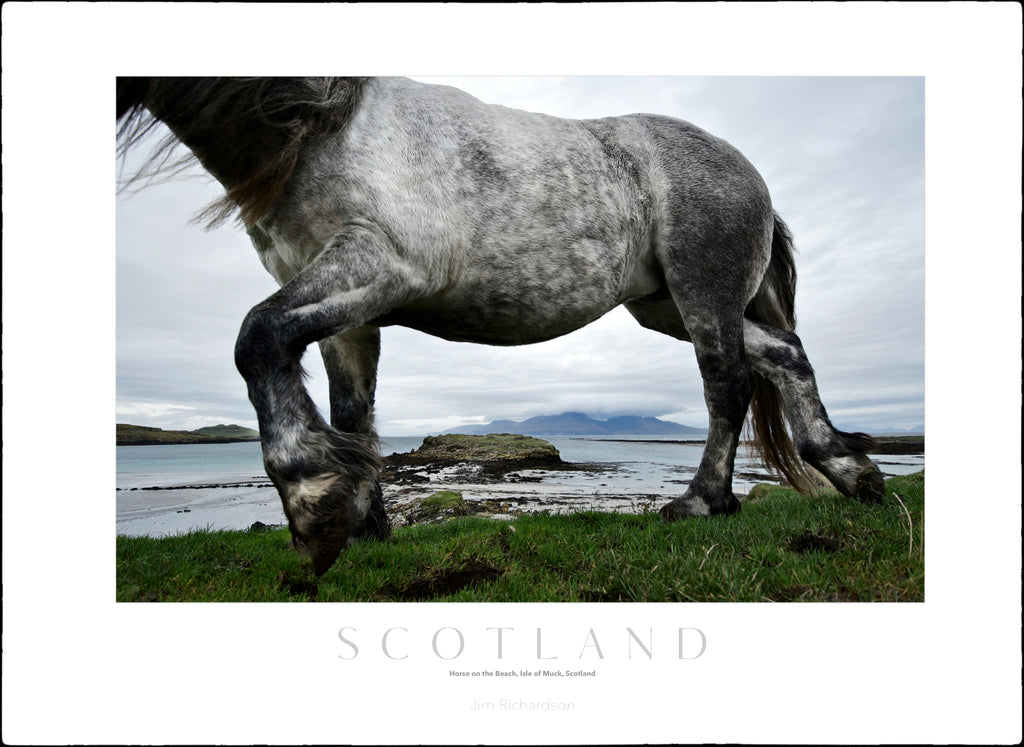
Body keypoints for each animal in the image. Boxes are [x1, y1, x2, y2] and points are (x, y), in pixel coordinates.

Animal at [116, 78, 884, 573]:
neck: (322, 128)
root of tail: (749, 174)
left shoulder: (382, 265)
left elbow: (256, 336)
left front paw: (312, 501)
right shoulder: (344, 309)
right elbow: (352, 411)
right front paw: (364, 524)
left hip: (703, 295)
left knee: (728, 384)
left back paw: (702, 503)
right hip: (666, 306)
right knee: (783, 354)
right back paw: (852, 472)